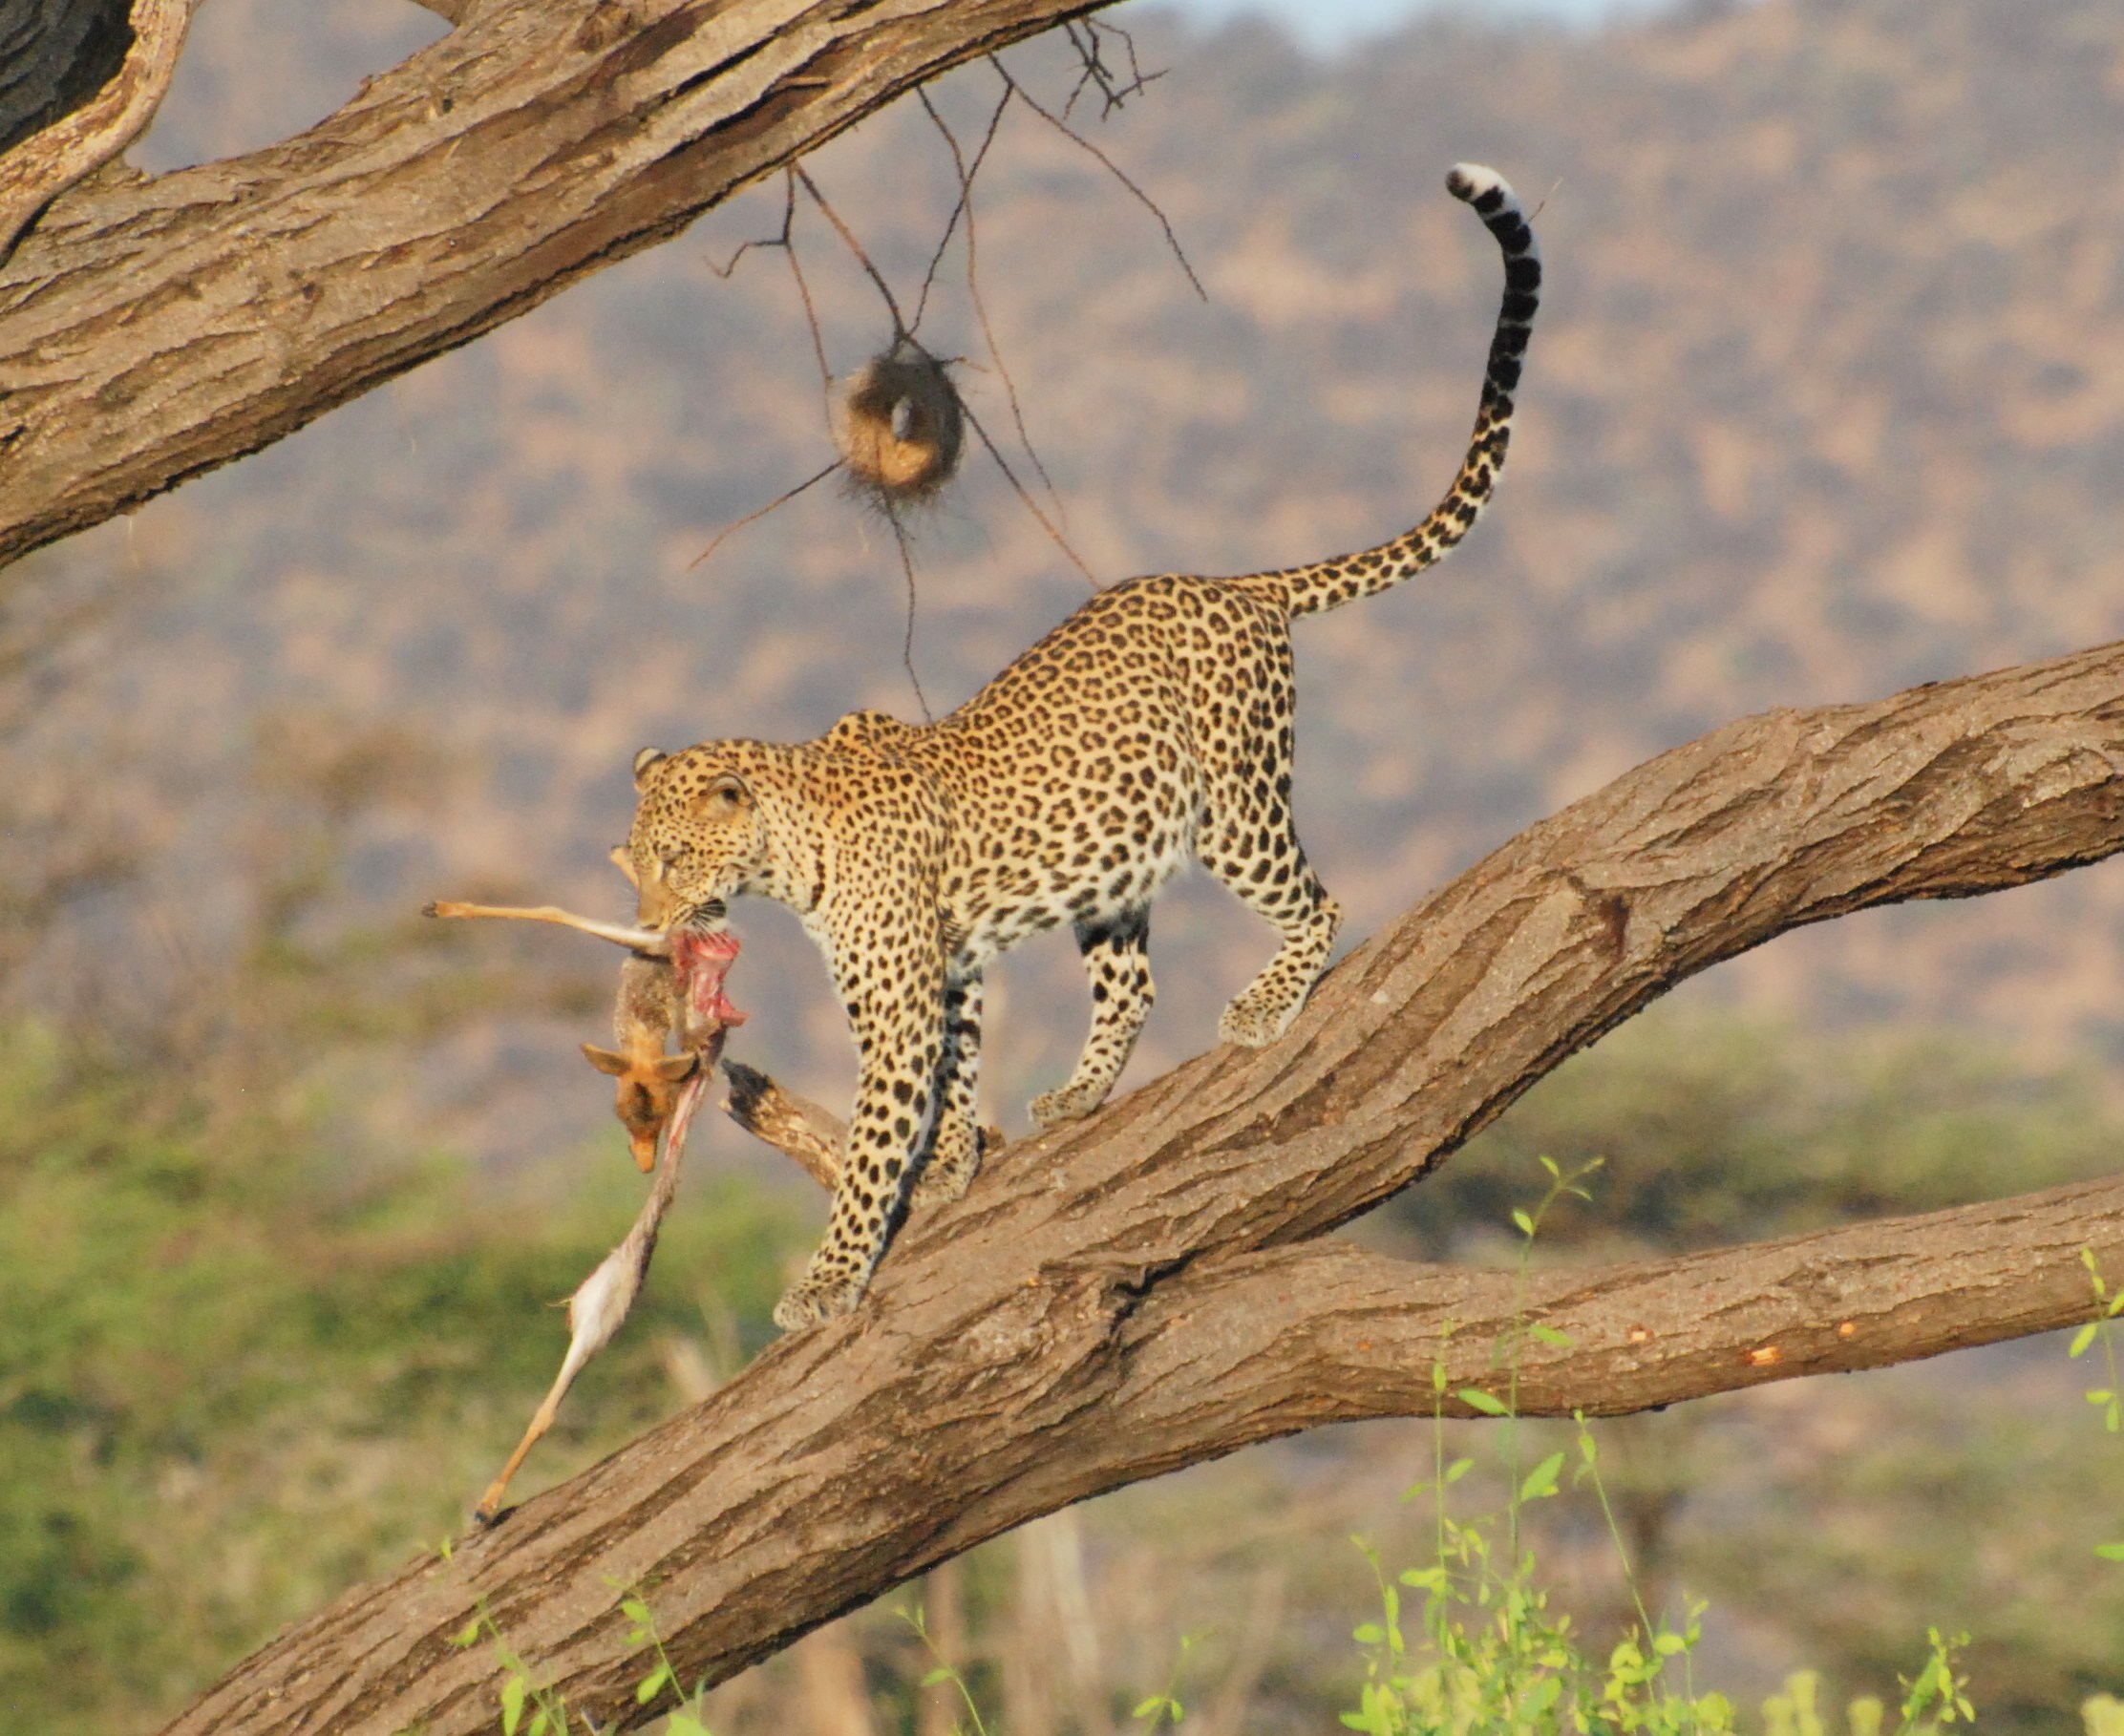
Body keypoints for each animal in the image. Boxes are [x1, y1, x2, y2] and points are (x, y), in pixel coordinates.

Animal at [628, 165, 1546, 1325]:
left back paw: (1262, 1006)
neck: (793, 853)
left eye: (671, 860)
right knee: (1133, 985)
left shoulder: (896, 1007)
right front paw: (955, 1161)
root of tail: (1234, 583)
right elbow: (958, 1070)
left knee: (1320, 903)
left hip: (1235, 806)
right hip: (1111, 862)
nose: (649, 932)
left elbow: (878, 1139)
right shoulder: (954, 967)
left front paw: (829, 1280)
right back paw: (1079, 1091)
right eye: (632, 864)